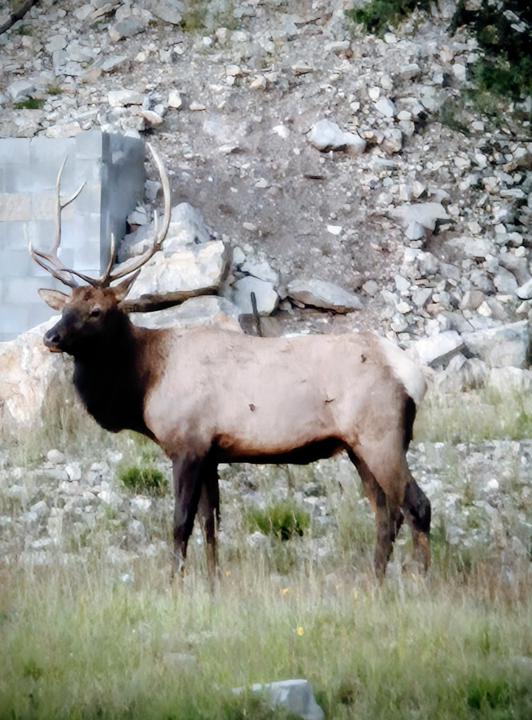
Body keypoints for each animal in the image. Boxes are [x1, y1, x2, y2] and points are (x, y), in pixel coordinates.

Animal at [31, 143, 432, 584]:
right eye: (64, 307)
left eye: (97, 311)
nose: (50, 338)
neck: (144, 383)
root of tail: (415, 375)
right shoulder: (211, 452)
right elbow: (210, 524)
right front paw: (211, 582)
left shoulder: (187, 444)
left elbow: (180, 523)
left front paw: (175, 583)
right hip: (358, 445)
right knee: (386, 512)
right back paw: (375, 582)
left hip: (381, 436)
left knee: (416, 506)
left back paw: (419, 582)